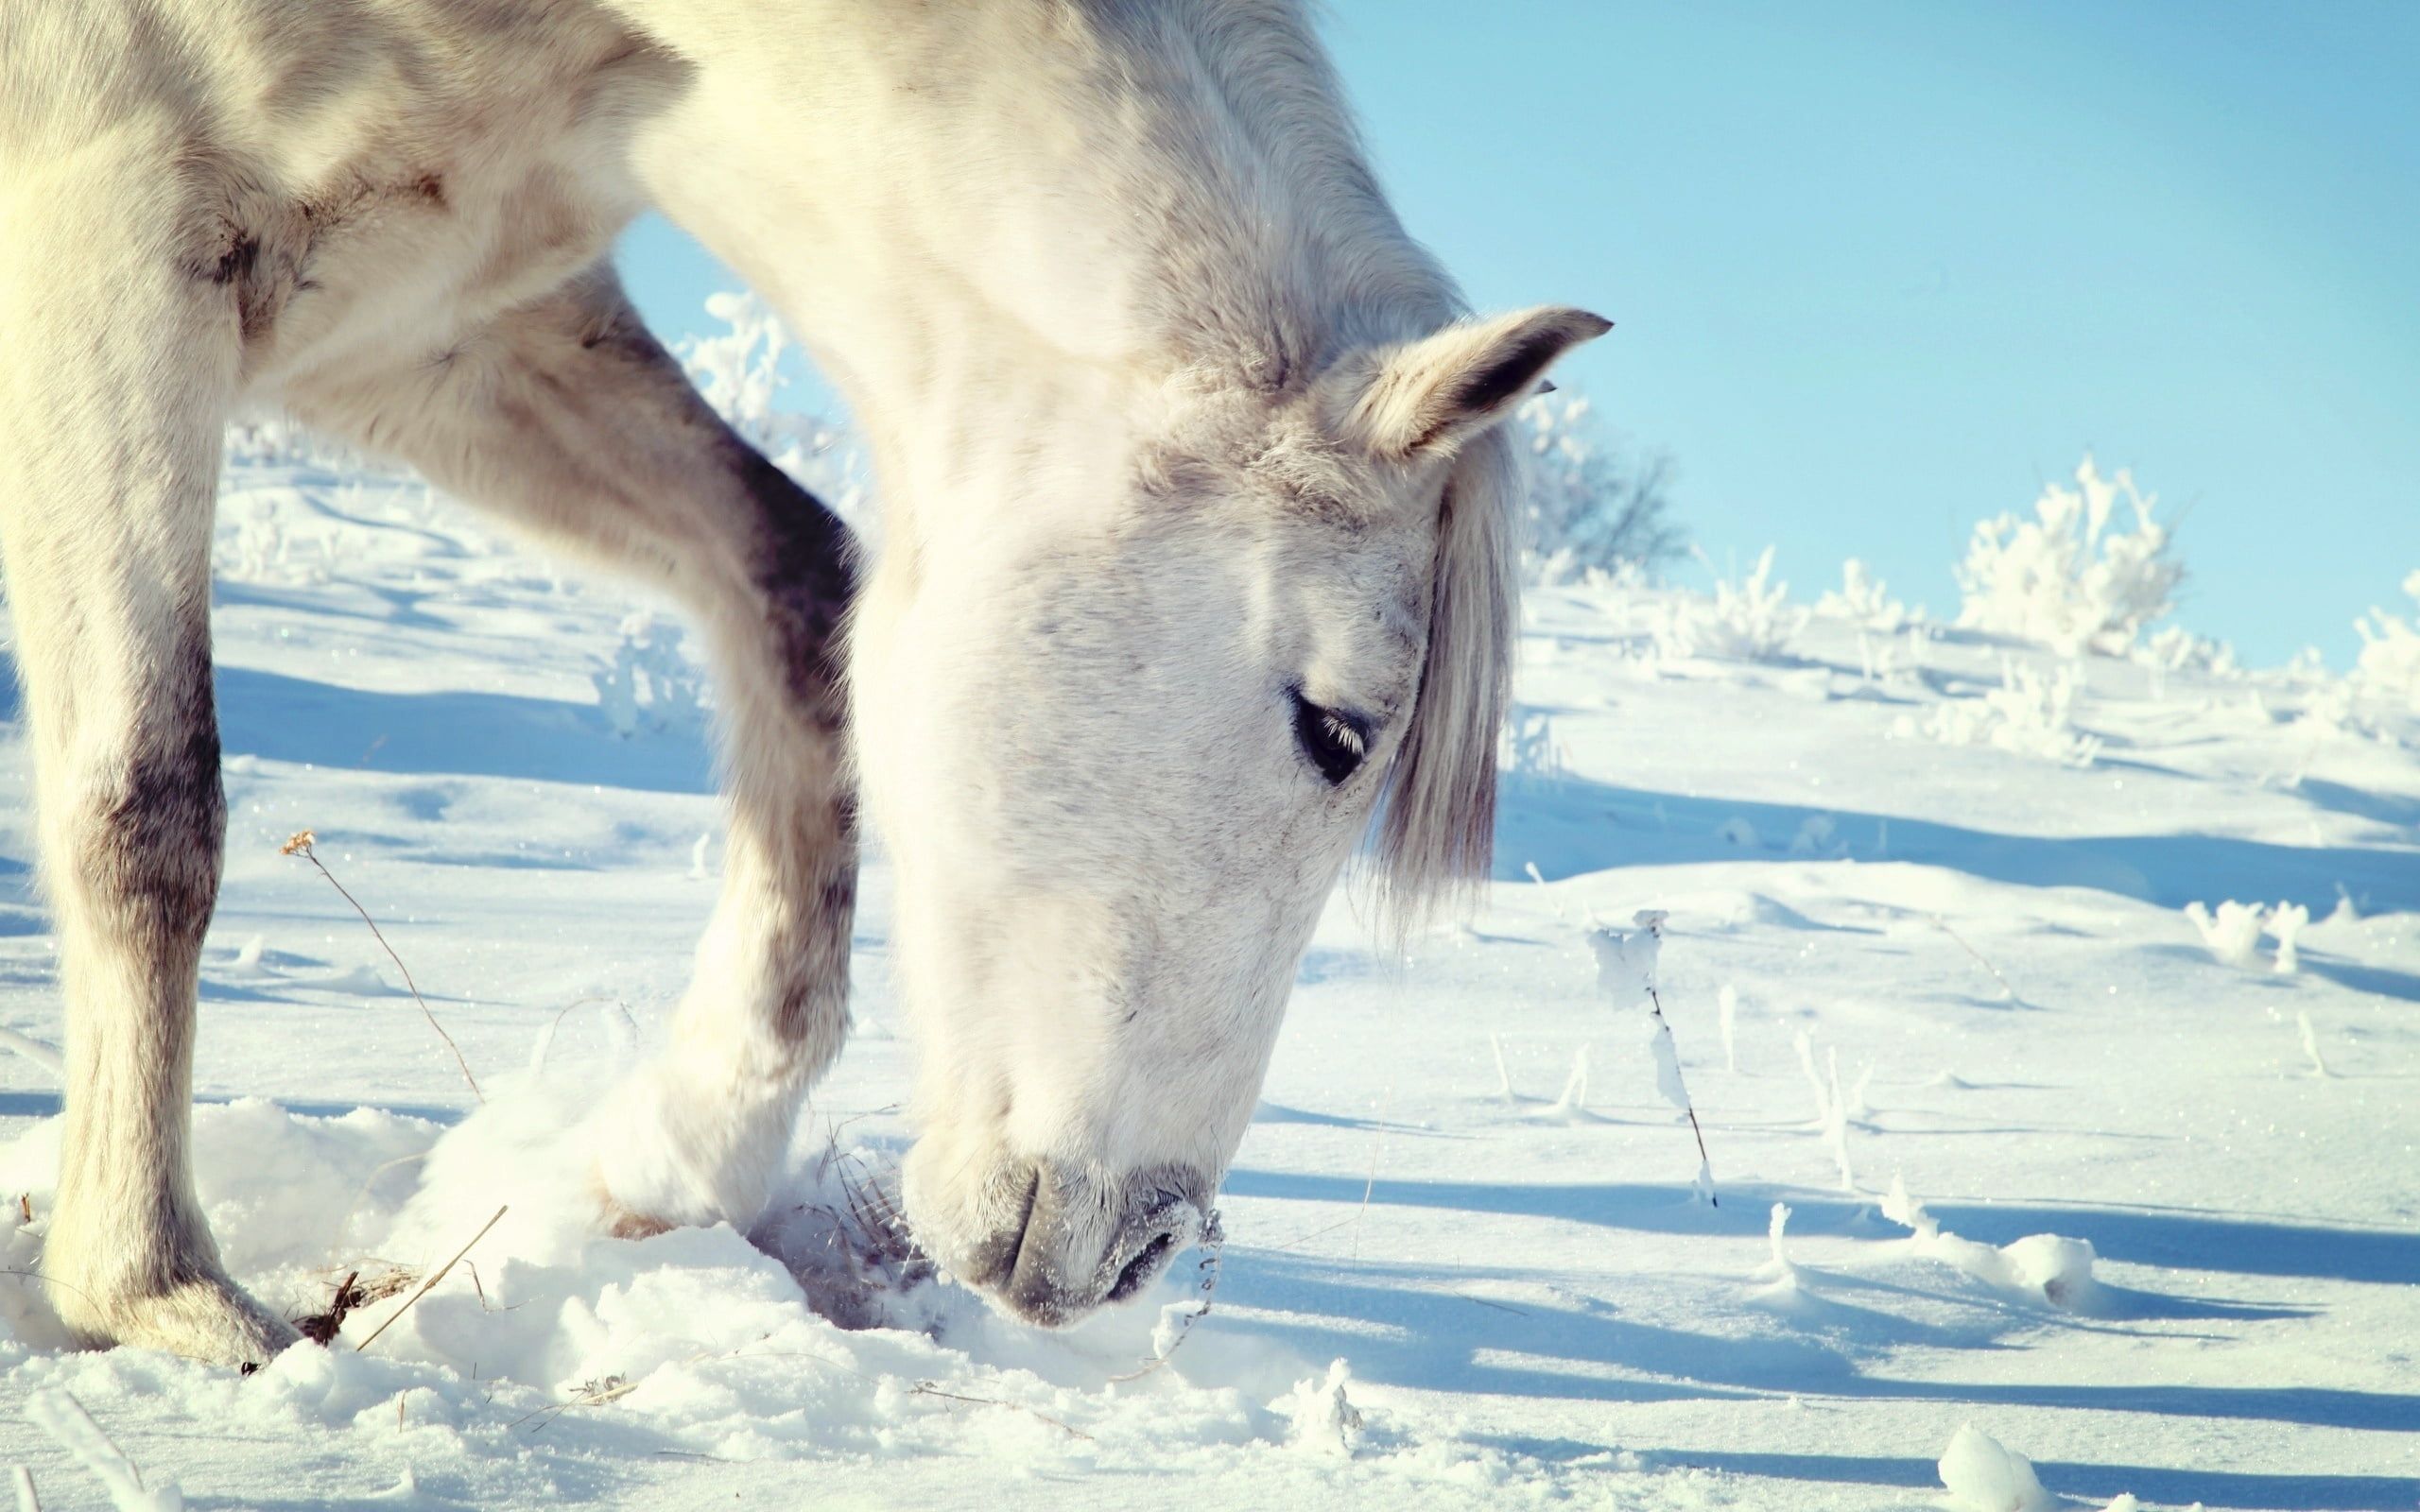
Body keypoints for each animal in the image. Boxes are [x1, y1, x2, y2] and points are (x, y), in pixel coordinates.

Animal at [0, 0, 1605, 1366]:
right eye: (1335, 729)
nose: (1138, 1251)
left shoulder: (433, 323)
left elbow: (797, 583)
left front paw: (670, 1158)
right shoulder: (111, 241)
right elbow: (148, 803)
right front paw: (157, 1292)